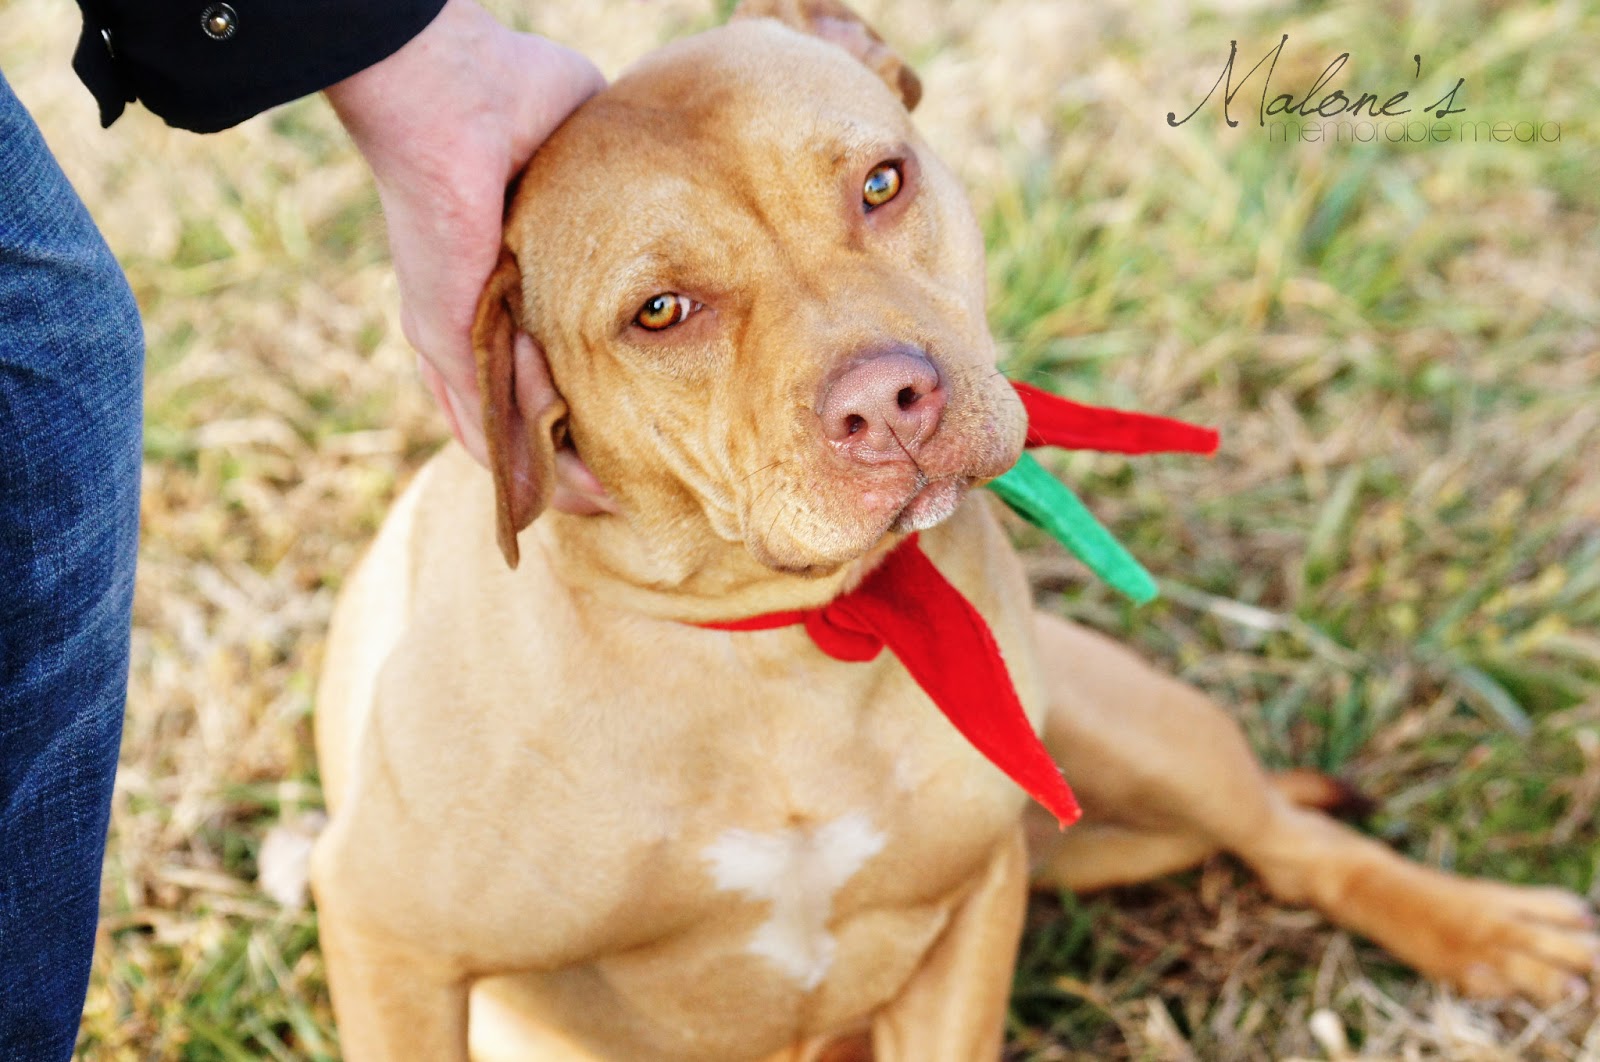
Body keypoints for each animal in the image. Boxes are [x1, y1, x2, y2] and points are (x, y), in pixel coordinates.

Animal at [311, 3, 1600, 1058]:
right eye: (660, 313)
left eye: (881, 183)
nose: (889, 403)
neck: (780, 641)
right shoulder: (389, 946)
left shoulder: (976, 903)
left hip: (1131, 719)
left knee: (1288, 838)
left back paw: (1487, 930)